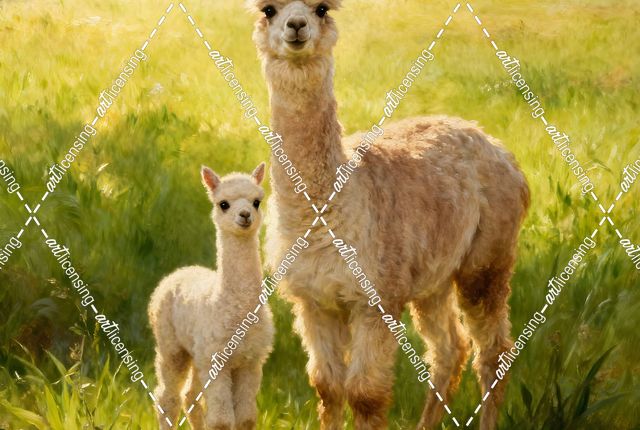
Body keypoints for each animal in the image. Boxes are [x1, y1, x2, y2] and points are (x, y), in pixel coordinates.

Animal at [148, 163, 274, 430]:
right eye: (223, 204)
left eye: (256, 201)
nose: (245, 215)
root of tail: (181, 271)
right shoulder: (218, 361)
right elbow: (222, 420)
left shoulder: (250, 361)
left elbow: (246, 418)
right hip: (171, 345)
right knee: (168, 398)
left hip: (199, 353)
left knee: (190, 397)